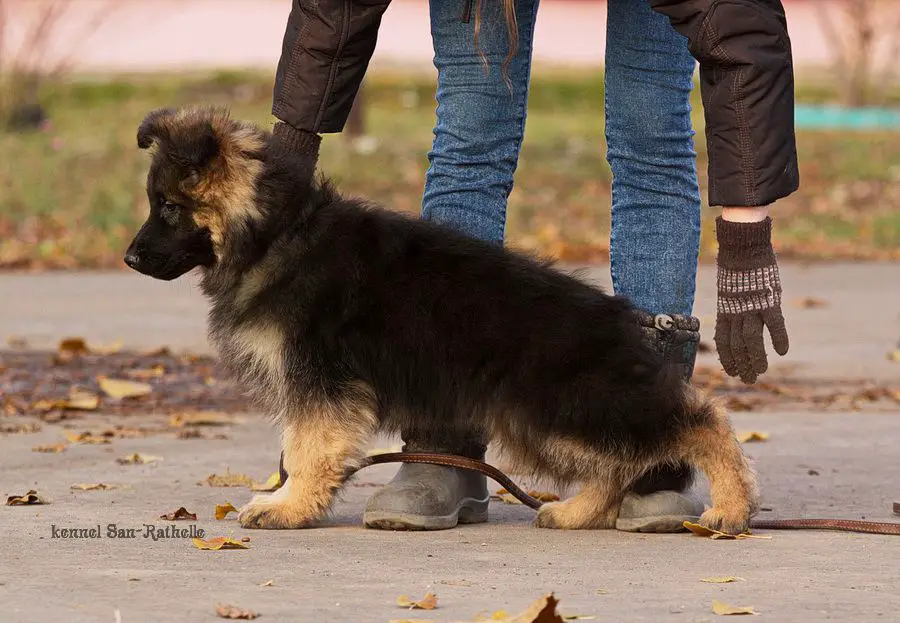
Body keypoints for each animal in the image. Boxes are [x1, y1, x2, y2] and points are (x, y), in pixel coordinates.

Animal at [126, 105, 760, 532]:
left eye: (168, 207)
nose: (129, 260)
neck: (279, 232)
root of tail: (624, 318)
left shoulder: (320, 381)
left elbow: (306, 448)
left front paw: (288, 506)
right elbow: (303, 446)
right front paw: (293, 503)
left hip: (575, 403)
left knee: (701, 422)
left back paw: (731, 505)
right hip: (543, 418)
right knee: (616, 464)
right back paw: (579, 511)